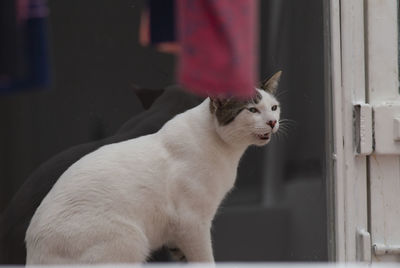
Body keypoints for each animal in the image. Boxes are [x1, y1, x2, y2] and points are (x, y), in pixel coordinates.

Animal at [25, 70, 282, 264]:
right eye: (252, 110)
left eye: (274, 108)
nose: (273, 122)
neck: (226, 151)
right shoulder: (193, 222)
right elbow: (205, 260)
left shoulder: (177, 235)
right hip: (131, 240)